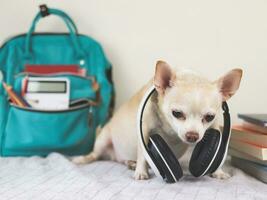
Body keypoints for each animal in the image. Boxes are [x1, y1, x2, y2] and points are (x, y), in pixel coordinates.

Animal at [73, 60, 243, 180]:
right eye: (177, 113)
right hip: (103, 140)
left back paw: (130, 162)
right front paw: (141, 172)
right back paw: (83, 159)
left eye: (209, 117)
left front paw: (218, 172)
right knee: (95, 154)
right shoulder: (144, 130)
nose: (192, 136)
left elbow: (218, 152)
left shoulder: (215, 127)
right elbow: (143, 154)